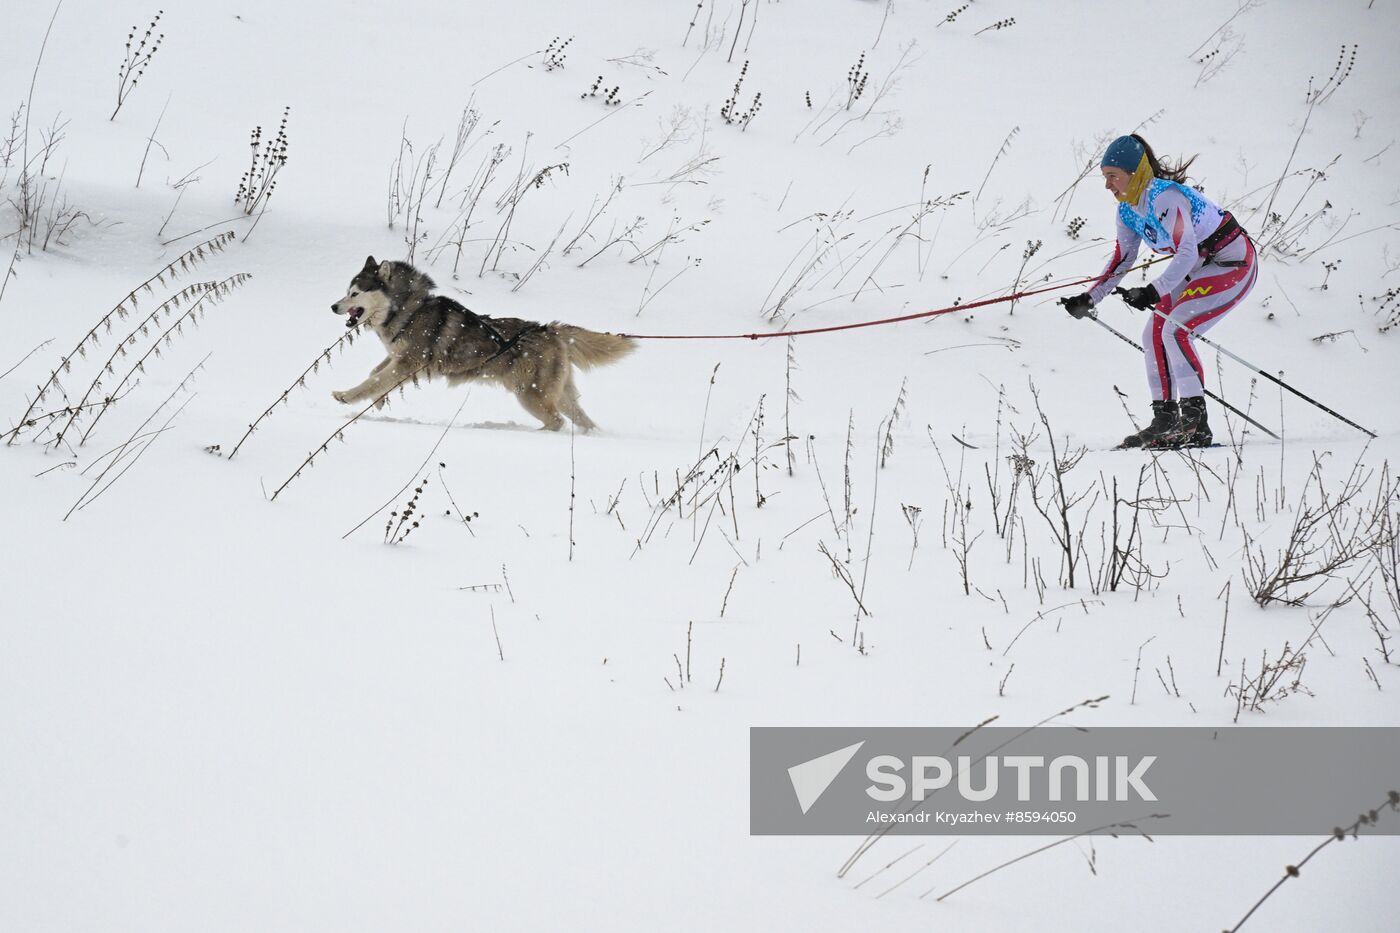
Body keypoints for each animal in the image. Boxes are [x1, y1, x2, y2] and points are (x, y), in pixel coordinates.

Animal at [327, 254, 635, 428]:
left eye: (354, 294)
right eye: (347, 291)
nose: (333, 306)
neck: (409, 310)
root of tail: (549, 329)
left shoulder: (407, 362)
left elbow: (373, 381)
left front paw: (346, 396)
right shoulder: (400, 359)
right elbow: (375, 374)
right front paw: (378, 402)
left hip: (531, 395)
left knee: (556, 422)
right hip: (559, 394)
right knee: (583, 421)